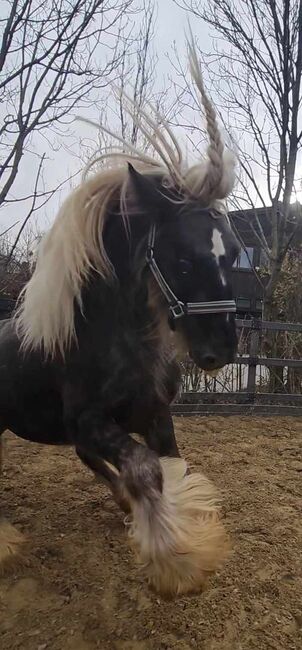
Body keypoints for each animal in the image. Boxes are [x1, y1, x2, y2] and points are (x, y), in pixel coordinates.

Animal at [0, 44, 241, 592]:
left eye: (235, 254)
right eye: (182, 261)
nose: (220, 349)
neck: (119, 342)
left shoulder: (154, 413)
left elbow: (168, 465)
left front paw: (187, 528)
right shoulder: (88, 421)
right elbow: (145, 468)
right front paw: (179, 560)